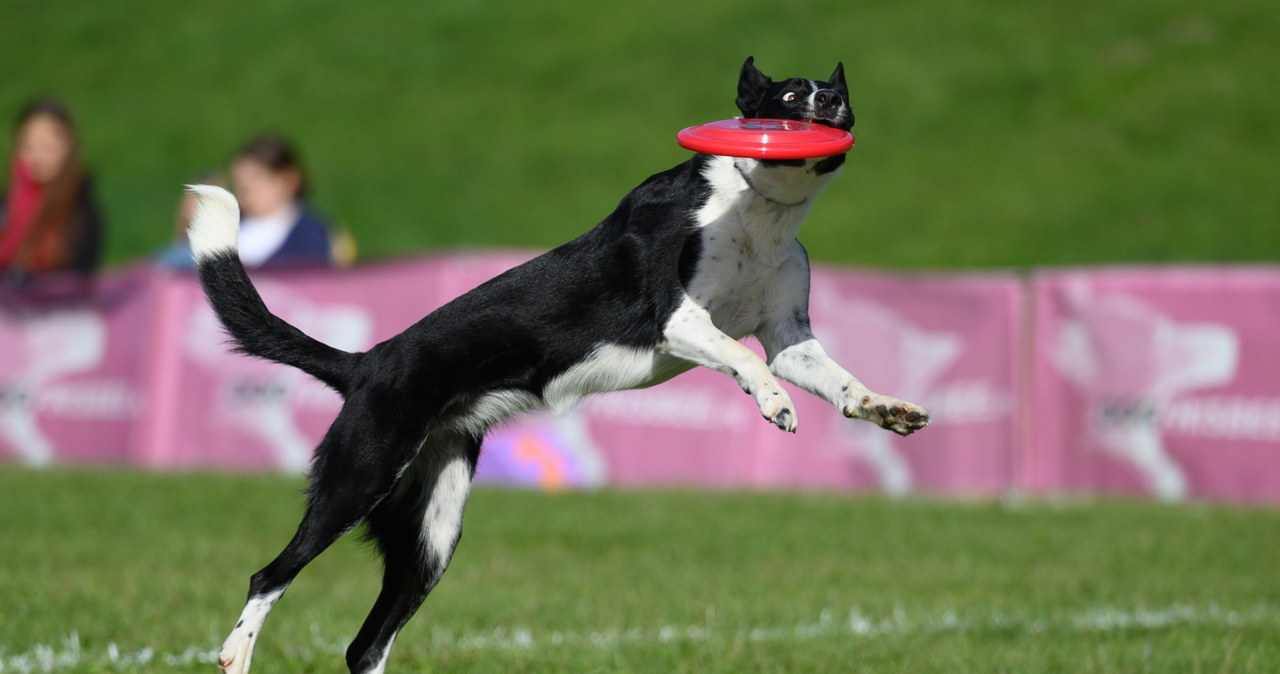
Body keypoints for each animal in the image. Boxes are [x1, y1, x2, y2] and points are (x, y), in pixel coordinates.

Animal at [192, 58, 931, 674]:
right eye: (790, 98)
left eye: (833, 92)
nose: (831, 100)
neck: (758, 209)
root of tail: (366, 363)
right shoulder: (674, 320)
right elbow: (740, 357)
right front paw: (774, 401)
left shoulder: (788, 337)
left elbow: (836, 380)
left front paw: (888, 408)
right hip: (361, 475)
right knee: (270, 577)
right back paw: (235, 652)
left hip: (433, 530)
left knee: (366, 644)